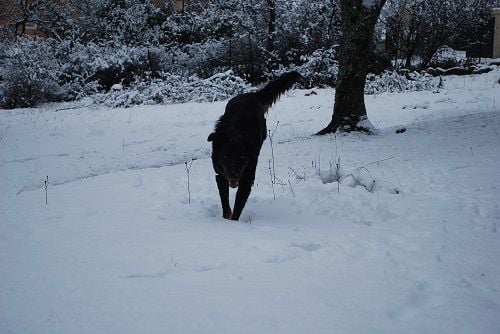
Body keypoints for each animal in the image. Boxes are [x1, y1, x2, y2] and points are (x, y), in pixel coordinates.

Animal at [207, 72, 300, 220]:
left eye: (242, 158)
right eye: (225, 157)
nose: (233, 175)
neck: (234, 134)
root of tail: (252, 95)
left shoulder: (247, 177)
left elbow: (239, 204)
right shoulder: (220, 174)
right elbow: (225, 202)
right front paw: (226, 218)